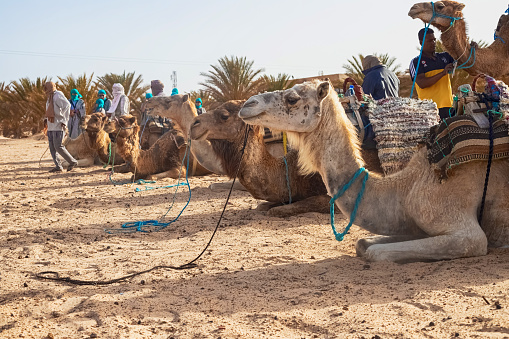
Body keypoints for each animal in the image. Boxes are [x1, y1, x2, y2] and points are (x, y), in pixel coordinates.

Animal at [238, 81, 508, 264]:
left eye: (292, 98)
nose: (247, 105)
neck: (406, 187)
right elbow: (363, 243)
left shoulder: (464, 231)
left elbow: (374, 253)